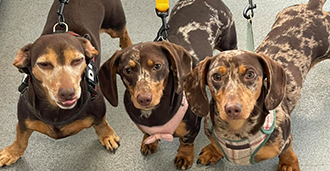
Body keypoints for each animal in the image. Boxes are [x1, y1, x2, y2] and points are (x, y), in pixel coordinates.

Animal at [0, 0, 131, 166]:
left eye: (78, 60)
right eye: (43, 64)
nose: (68, 93)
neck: (57, 111)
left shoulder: (99, 110)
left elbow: (101, 124)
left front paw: (107, 136)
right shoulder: (23, 121)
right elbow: (20, 139)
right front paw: (12, 152)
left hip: (115, 24)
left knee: (123, 33)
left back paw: (128, 48)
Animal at [184, 0, 328, 169]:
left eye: (250, 74)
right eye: (216, 76)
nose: (232, 109)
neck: (237, 133)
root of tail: (312, 7)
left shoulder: (285, 139)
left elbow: (287, 152)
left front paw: (288, 164)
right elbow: (215, 145)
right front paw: (213, 151)